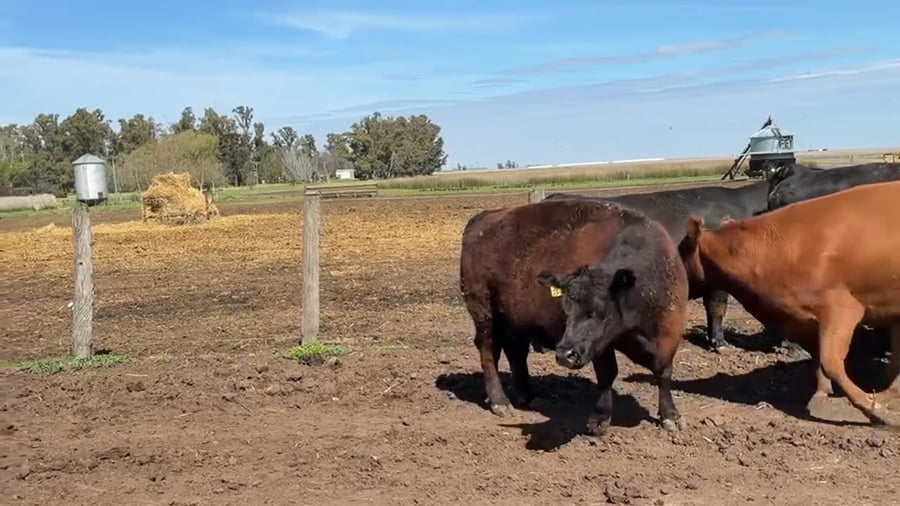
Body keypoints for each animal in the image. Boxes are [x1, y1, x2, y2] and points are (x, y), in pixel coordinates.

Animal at [459, 198, 689, 435]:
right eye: (566, 310)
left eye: (599, 312)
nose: (564, 355)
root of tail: (485, 217)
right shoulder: (601, 347)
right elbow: (608, 374)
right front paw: (599, 418)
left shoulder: (669, 334)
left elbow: (664, 373)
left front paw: (670, 415)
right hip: (484, 313)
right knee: (488, 351)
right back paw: (500, 401)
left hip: (515, 320)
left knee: (516, 352)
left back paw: (527, 395)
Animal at [679, 180, 900, 429]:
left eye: (679, 252)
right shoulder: (802, 321)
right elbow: (818, 359)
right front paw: (821, 396)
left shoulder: (841, 309)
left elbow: (830, 362)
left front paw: (877, 411)